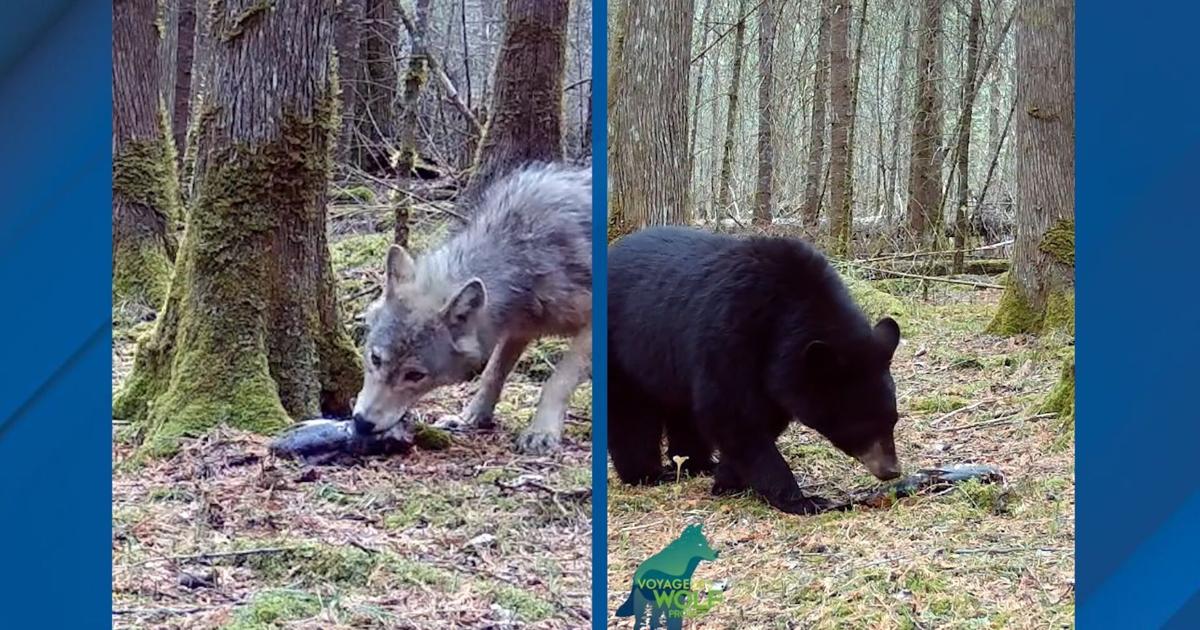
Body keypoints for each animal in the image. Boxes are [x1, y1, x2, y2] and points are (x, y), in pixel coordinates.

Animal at [351, 163, 592, 454]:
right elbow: (492, 374)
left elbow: (558, 380)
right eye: (375, 359)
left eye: (415, 375)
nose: (362, 423)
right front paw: (471, 417)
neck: (526, 255)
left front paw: (541, 432)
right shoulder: (517, 330)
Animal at [607, 226, 903, 515]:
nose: (891, 470)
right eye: (862, 424)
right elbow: (733, 415)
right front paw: (803, 500)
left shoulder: (774, 376)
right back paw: (647, 474)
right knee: (630, 414)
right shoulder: (730, 336)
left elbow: (761, 421)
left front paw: (727, 479)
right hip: (623, 350)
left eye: (892, 420)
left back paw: (698, 463)